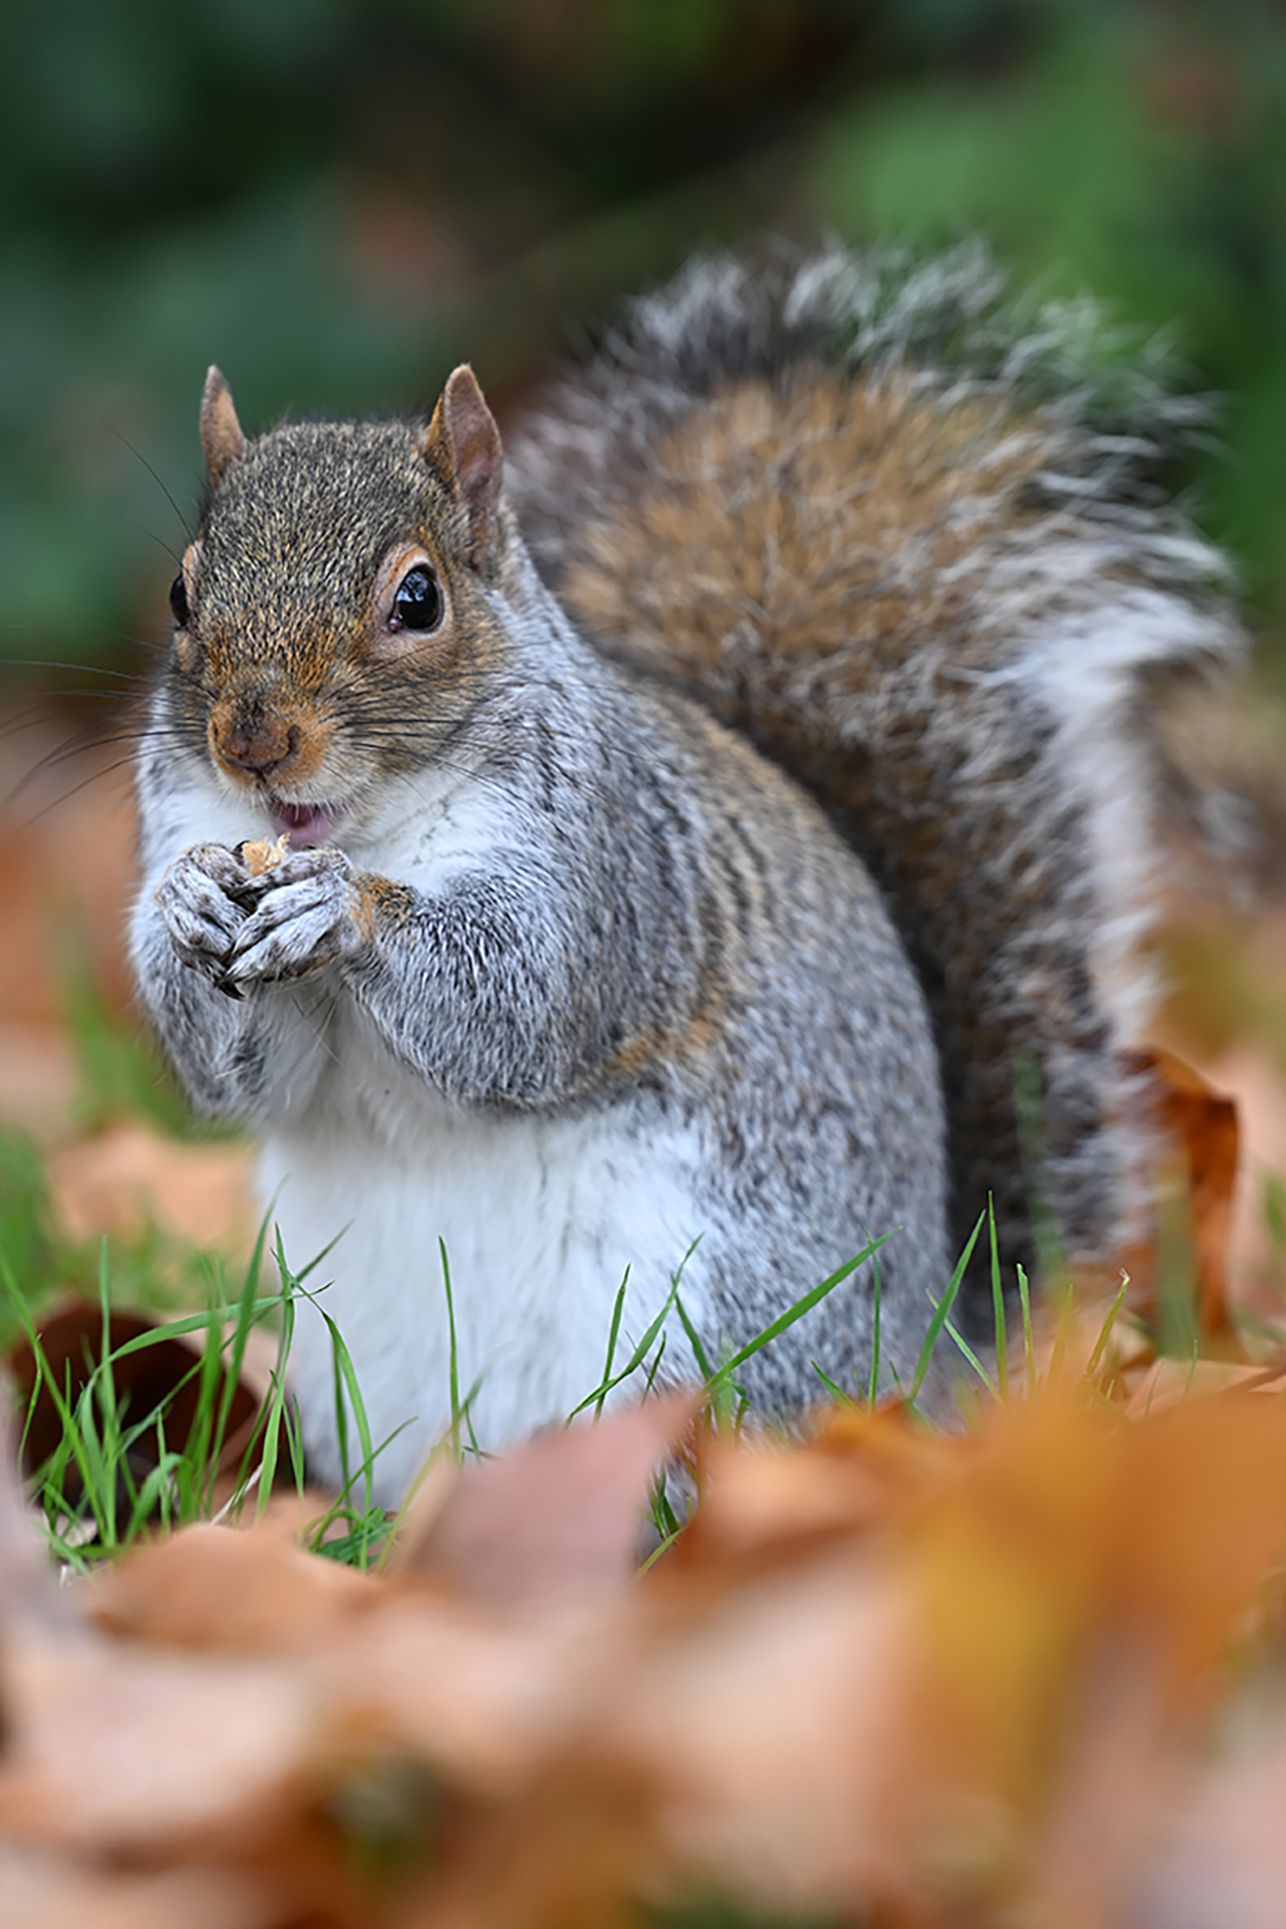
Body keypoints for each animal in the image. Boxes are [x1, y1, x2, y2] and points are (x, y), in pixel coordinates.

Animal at [129, 242, 1243, 1502]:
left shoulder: (614, 871)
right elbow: (247, 1079)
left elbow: (521, 1005)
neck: (362, 824)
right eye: (180, 593)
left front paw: (344, 910)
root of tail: (933, 1370)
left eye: (417, 599)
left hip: (705, 1337)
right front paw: (185, 907)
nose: (252, 742)